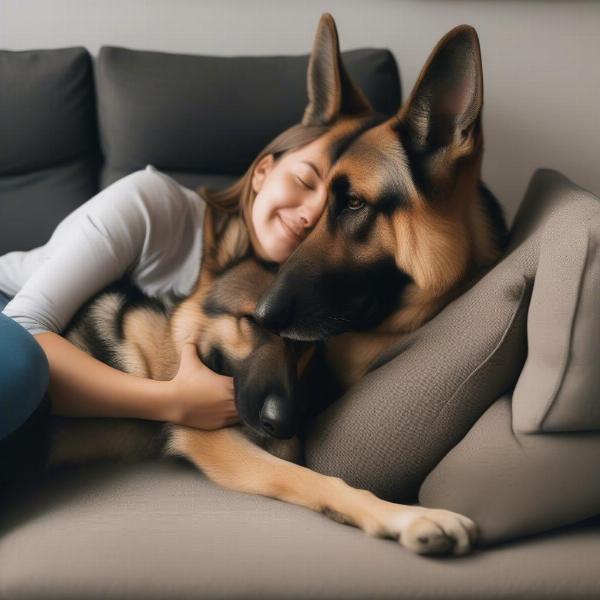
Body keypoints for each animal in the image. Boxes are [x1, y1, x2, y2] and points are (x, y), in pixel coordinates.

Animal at [45, 14, 506, 556]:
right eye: (252, 322)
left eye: (306, 347)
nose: (285, 421)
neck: (169, 344)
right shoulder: (216, 438)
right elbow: (314, 479)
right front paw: (410, 517)